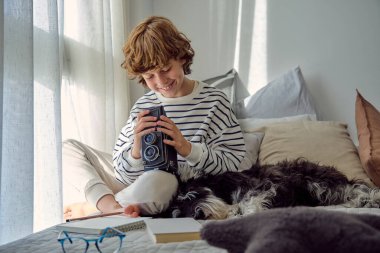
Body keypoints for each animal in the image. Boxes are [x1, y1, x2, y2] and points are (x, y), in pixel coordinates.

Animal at [162, 160, 380, 219]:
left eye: (191, 194)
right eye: (178, 213)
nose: (197, 215)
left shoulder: (262, 187)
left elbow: (250, 203)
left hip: (317, 184)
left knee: (355, 189)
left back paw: (368, 199)